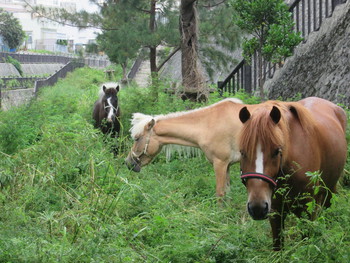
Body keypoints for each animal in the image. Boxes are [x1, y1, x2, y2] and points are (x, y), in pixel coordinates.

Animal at [238, 97, 348, 252]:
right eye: (242, 152)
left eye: (276, 151)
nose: (257, 208)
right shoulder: (276, 210)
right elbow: (278, 245)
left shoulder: (307, 209)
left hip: (330, 190)